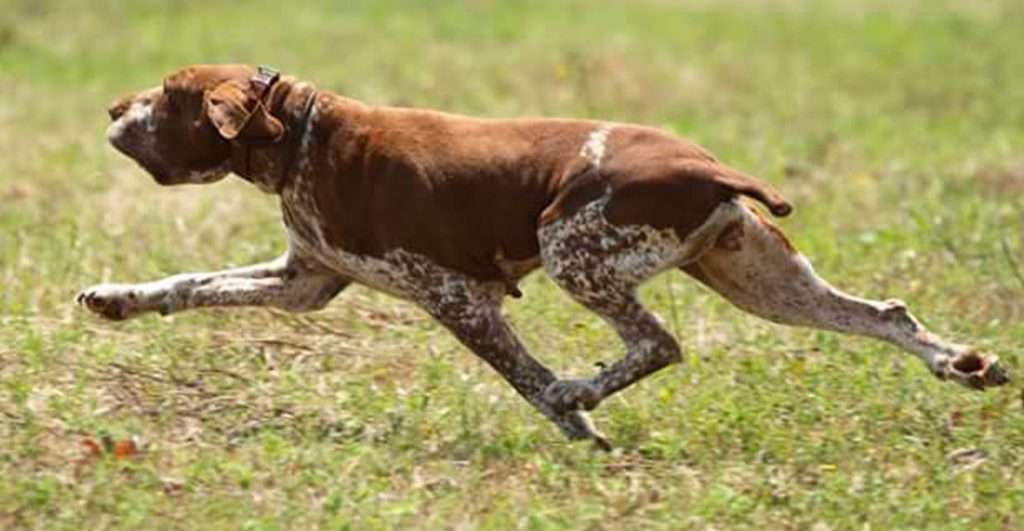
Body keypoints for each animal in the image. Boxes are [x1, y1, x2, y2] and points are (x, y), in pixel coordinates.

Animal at [79, 65, 1007, 448]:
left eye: (169, 96)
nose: (115, 108)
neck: (304, 132)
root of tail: (709, 165)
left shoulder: (456, 297)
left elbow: (524, 377)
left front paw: (576, 422)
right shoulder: (302, 281)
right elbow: (189, 284)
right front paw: (118, 298)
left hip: (574, 251)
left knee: (657, 343)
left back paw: (580, 389)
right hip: (760, 279)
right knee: (885, 314)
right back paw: (960, 363)